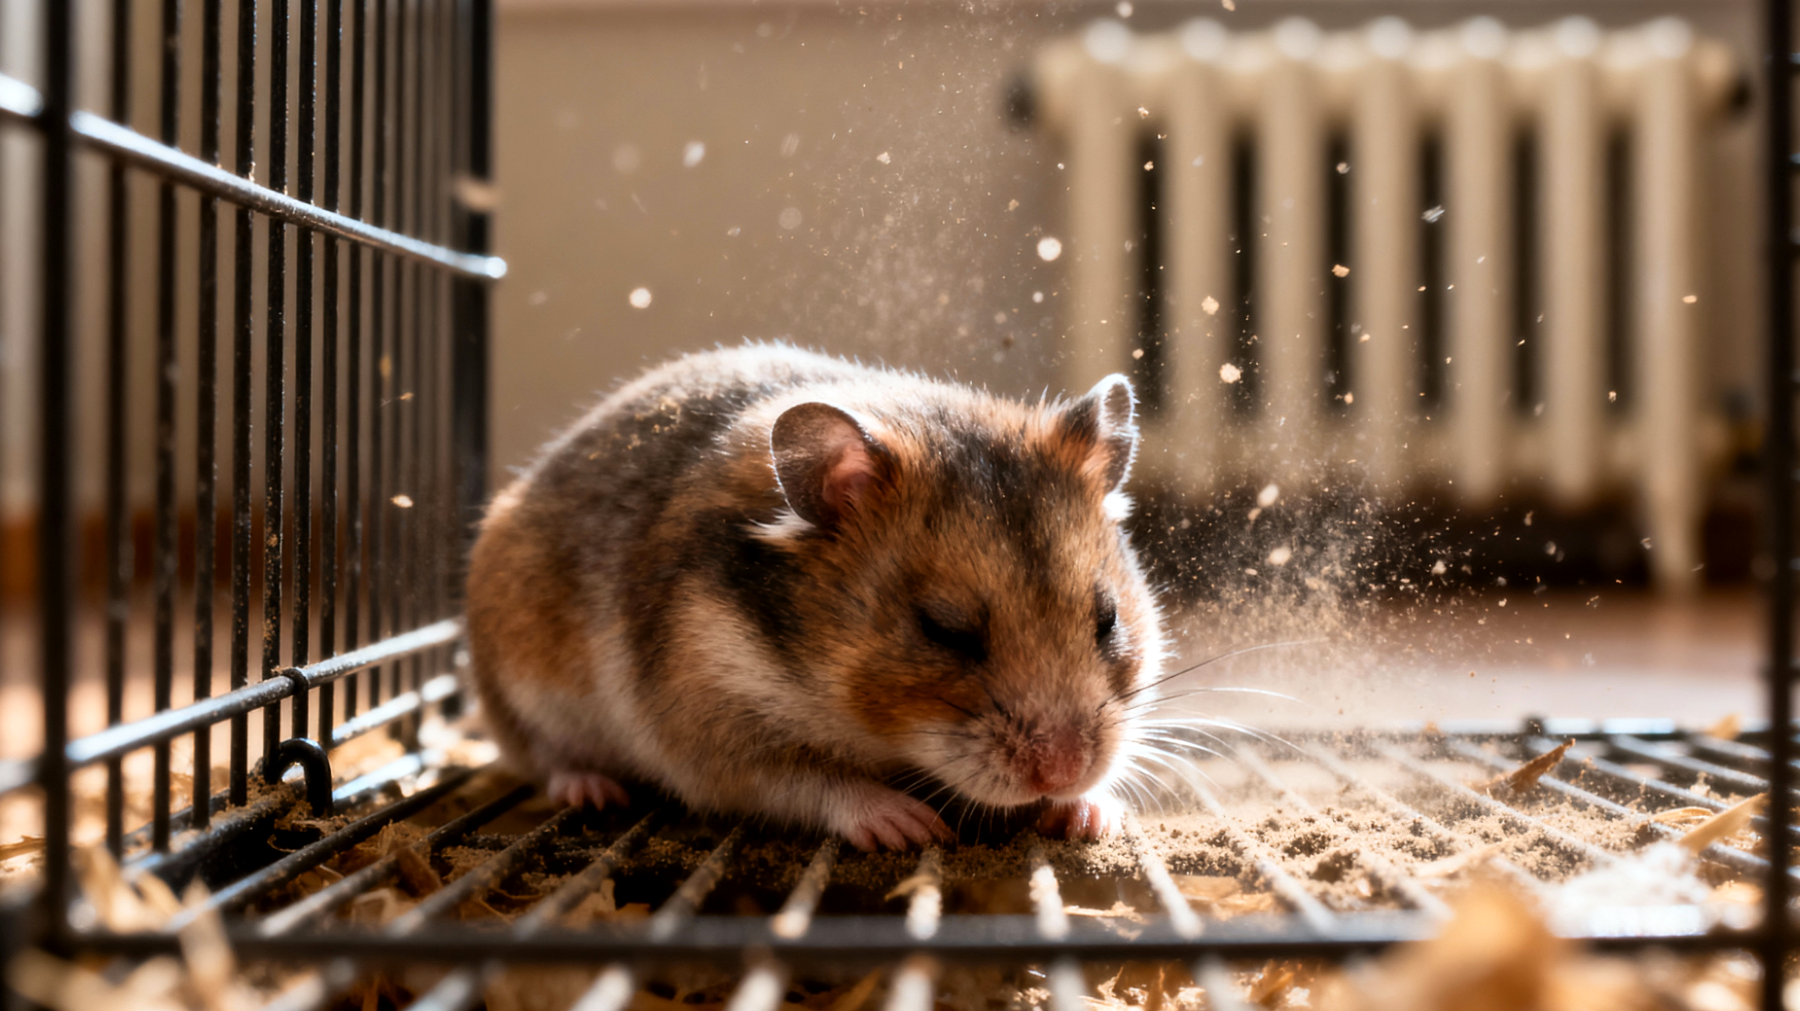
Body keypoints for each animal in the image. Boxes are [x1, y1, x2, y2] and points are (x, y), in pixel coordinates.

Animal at [465, 344, 1165, 850]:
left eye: (1108, 620)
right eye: (943, 630)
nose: (1063, 772)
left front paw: (1091, 815)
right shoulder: (712, 736)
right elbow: (814, 782)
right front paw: (912, 828)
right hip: (517, 681)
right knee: (542, 755)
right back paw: (593, 790)